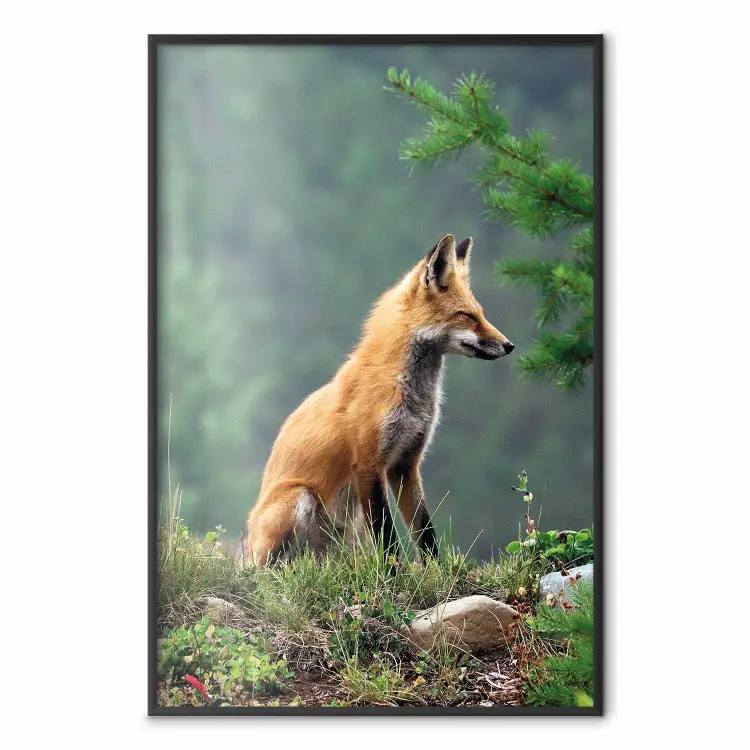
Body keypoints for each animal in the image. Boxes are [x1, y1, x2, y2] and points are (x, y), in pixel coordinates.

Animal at [243, 233, 515, 566]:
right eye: (467, 316)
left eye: (481, 314)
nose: (509, 345)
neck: (411, 395)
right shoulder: (369, 464)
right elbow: (386, 534)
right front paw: (393, 574)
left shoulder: (406, 464)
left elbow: (425, 531)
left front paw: (437, 572)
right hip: (299, 499)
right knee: (261, 569)